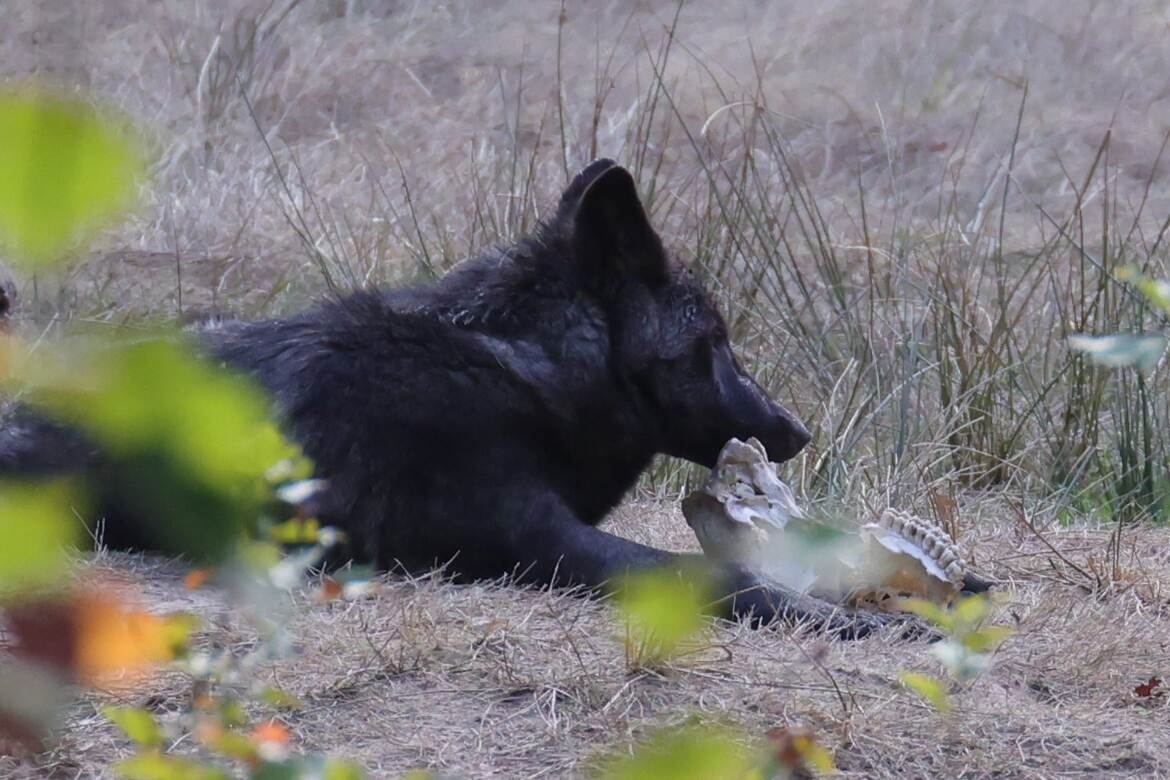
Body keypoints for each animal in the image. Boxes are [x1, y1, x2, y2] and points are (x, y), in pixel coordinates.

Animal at [1, 160, 917, 636]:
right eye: (716, 344)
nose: (797, 430)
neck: (518, 369)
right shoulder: (538, 537)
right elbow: (728, 579)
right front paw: (878, 625)